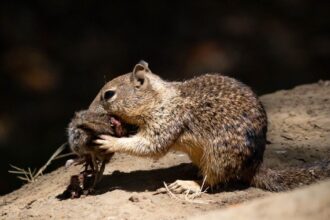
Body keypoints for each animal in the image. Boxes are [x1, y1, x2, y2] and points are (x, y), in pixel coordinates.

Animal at [73, 61, 330, 193]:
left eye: (108, 95)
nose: (88, 109)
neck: (159, 99)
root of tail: (255, 165)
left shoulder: (167, 120)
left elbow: (151, 145)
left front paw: (110, 141)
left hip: (219, 156)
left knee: (212, 181)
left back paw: (188, 184)